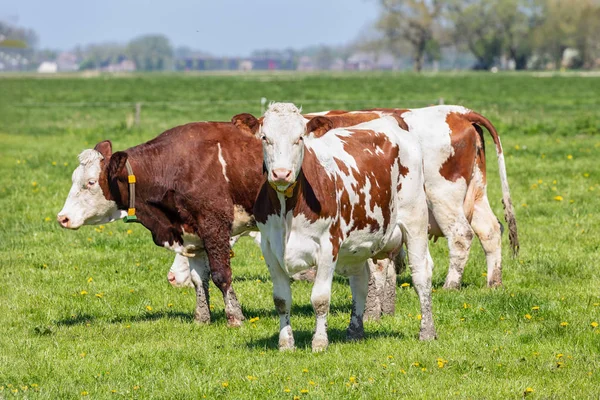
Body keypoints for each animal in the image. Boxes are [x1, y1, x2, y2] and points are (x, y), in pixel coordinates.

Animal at [57, 122, 264, 328]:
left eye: (91, 182)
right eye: (74, 179)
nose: (62, 218)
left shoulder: (214, 227)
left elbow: (221, 275)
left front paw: (234, 317)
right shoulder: (193, 235)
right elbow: (198, 278)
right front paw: (202, 318)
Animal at [237, 101, 438, 352]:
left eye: (300, 138)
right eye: (265, 138)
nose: (281, 174)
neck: (288, 210)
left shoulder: (327, 245)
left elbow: (320, 299)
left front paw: (319, 342)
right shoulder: (269, 248)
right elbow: (281, 300)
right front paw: (286, 343)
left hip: (415, 220)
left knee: (421, 274)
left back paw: (427, 332)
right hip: (359, 244)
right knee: (360, 281)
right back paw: (355, 331)